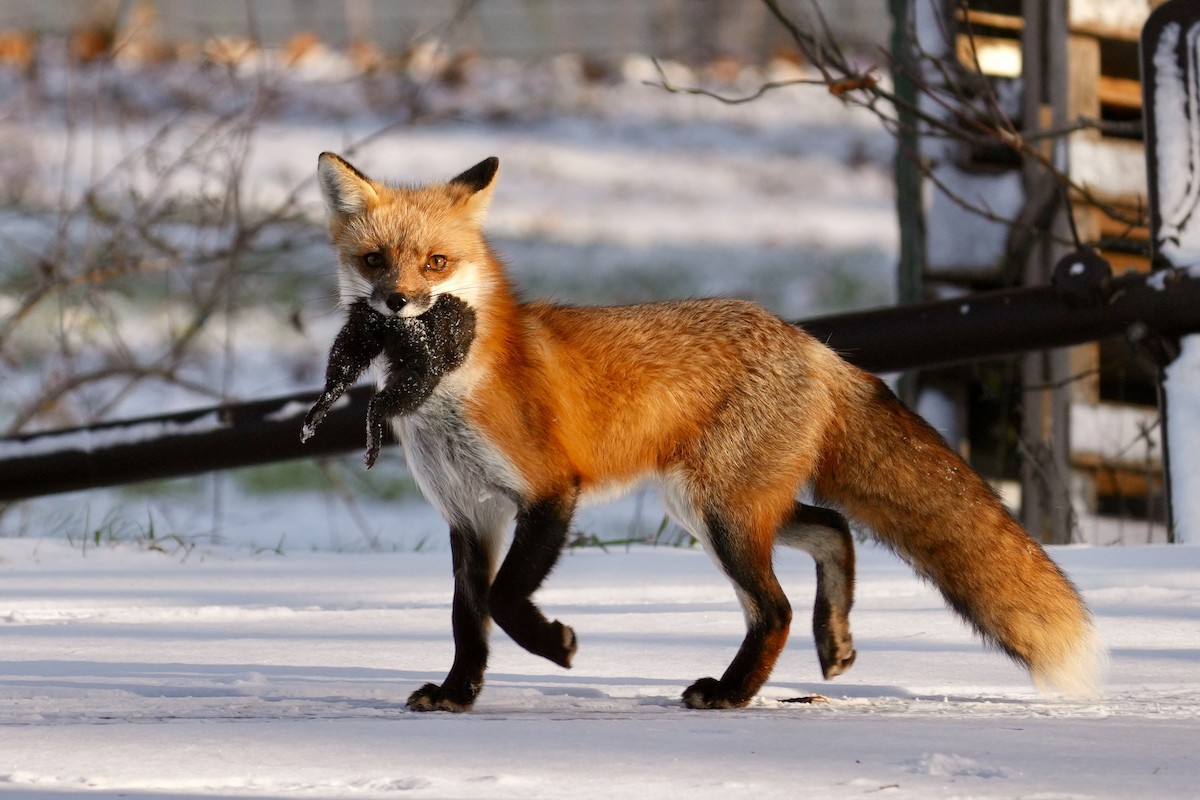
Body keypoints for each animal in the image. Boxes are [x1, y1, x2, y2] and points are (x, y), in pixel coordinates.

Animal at [315, 151, 1105, 712]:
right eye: (375, 260)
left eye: (437, 262)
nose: (398, 302)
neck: (455, 386)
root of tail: (814, 344)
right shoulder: (468, 514)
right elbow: (467, 617)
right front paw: (458, 695)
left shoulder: (549, 492)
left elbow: (506, 601)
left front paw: (556, 646)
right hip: (713, 504)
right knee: (832, 531)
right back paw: (833, 640)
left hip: (718, 511)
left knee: (776, 606)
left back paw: (731, 693)